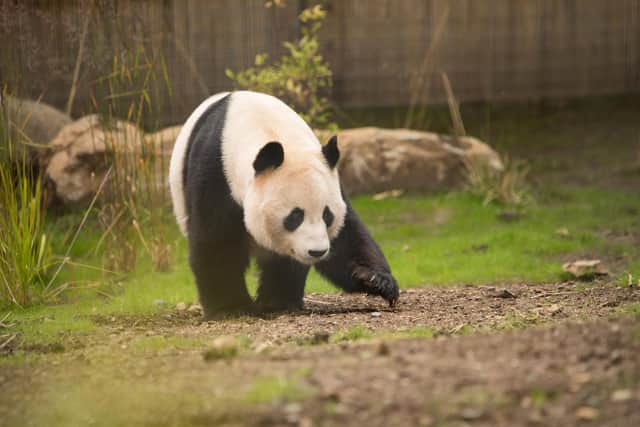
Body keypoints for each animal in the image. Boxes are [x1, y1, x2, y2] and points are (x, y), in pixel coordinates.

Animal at [171, 89, 400, 318]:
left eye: (327, 215)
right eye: (295, 216)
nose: (317, 252)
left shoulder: (330, 179)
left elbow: (347, 236)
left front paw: (376, 280)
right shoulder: (216, 173)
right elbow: (217, 241)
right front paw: (232, 307)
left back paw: (278, 301)